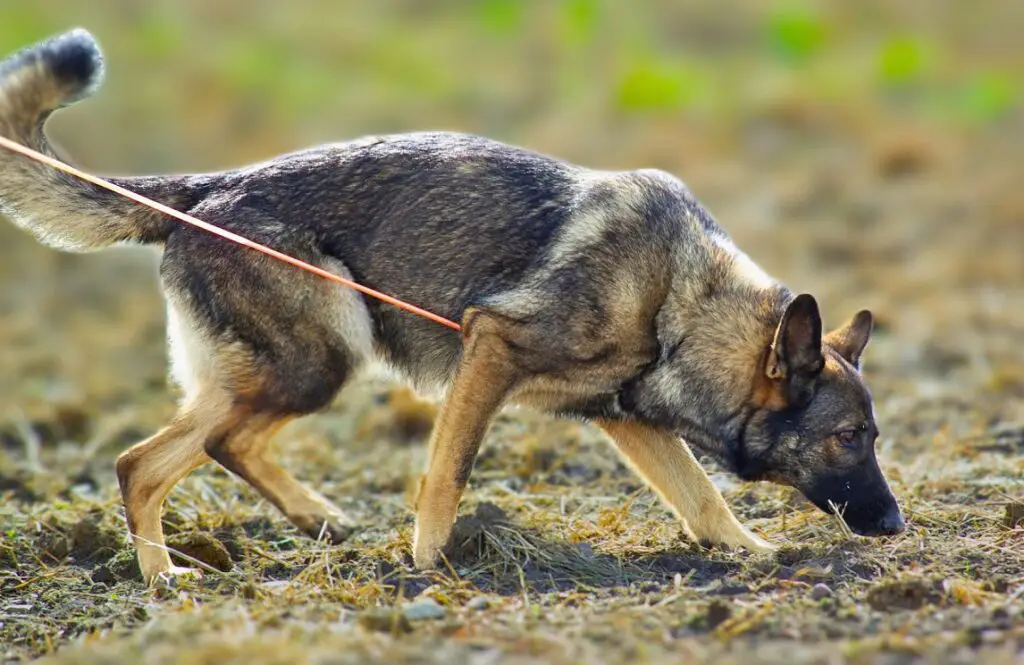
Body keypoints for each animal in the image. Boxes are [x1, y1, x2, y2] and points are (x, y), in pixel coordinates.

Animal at [0, 29, 901, 582]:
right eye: (848, 437)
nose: (896, 526)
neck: (681, 306)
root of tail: (208, 189)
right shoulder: (490, 350)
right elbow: (449, 469)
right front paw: (430, 562)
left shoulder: (627, 418)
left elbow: (701, 496)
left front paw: (750, 551)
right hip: (318, 358)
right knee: (147, 461)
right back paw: (163, 576)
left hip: (293, 369)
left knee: (209, 444)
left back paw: (312, 520)